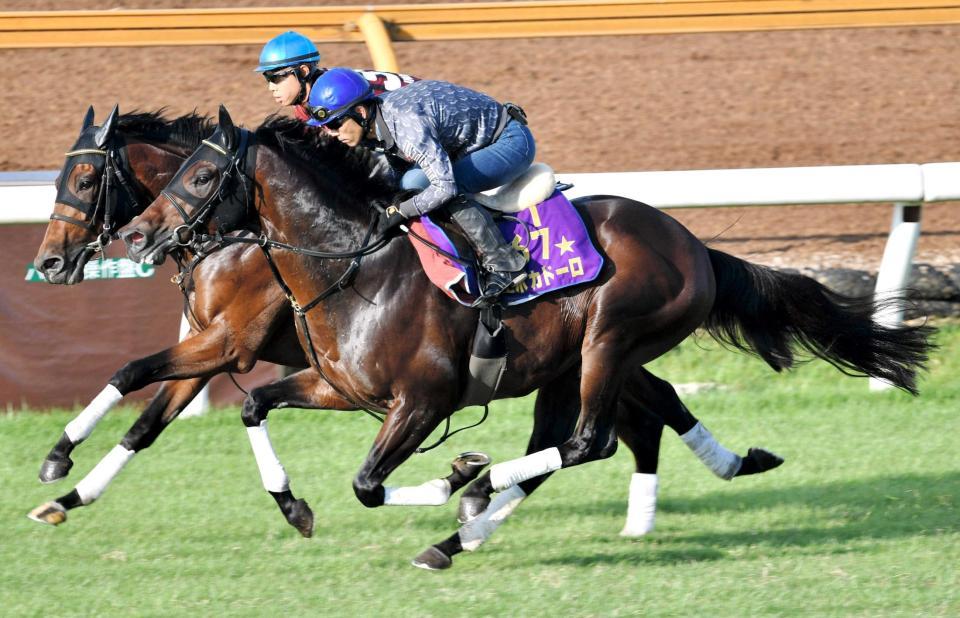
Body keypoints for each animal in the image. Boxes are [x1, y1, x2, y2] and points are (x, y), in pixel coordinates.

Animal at [118, 106, 931, 569]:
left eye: (199, 178)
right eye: (177, 172)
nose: (137, 235)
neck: (355, 265)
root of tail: (694, 244)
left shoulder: (421, 401)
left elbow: (369, 485)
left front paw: (454, 477)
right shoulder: (337, 386)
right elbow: (257, 407)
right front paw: (294, 507)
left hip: (609, 340)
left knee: (588, 442)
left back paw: (473, 500)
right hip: (565, 368)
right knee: (578, 441)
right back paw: (465, 530)